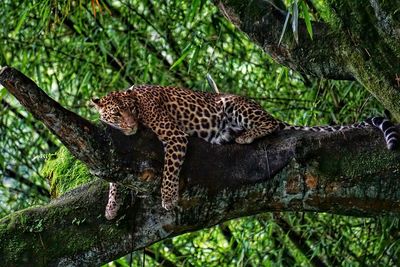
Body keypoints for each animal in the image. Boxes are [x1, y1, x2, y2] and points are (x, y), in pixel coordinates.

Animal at [91, 85, 400, 220]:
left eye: (132, 109)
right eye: (117, 113)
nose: (130, 124)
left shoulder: (175, 136)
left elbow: (169, 169)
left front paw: (168, 198)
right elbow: (113, 175)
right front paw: (111, 207)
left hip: (232, 104)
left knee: (270, 124)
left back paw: (245, 135)